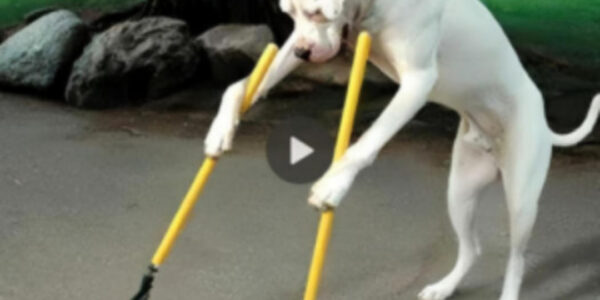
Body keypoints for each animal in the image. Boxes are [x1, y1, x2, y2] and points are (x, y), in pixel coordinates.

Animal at [203, 1, 600, 298]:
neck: (370, 10)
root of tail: (544, 122)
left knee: (517, 261)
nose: (303, 50)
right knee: (472, 249)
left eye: (316, 13)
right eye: (289, 14)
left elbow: (368, 142)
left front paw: (334, 185)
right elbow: (240, 86)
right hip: (460, 192)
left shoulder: (418, 82)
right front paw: (222, 127)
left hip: (521, 202)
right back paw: (443, 287)